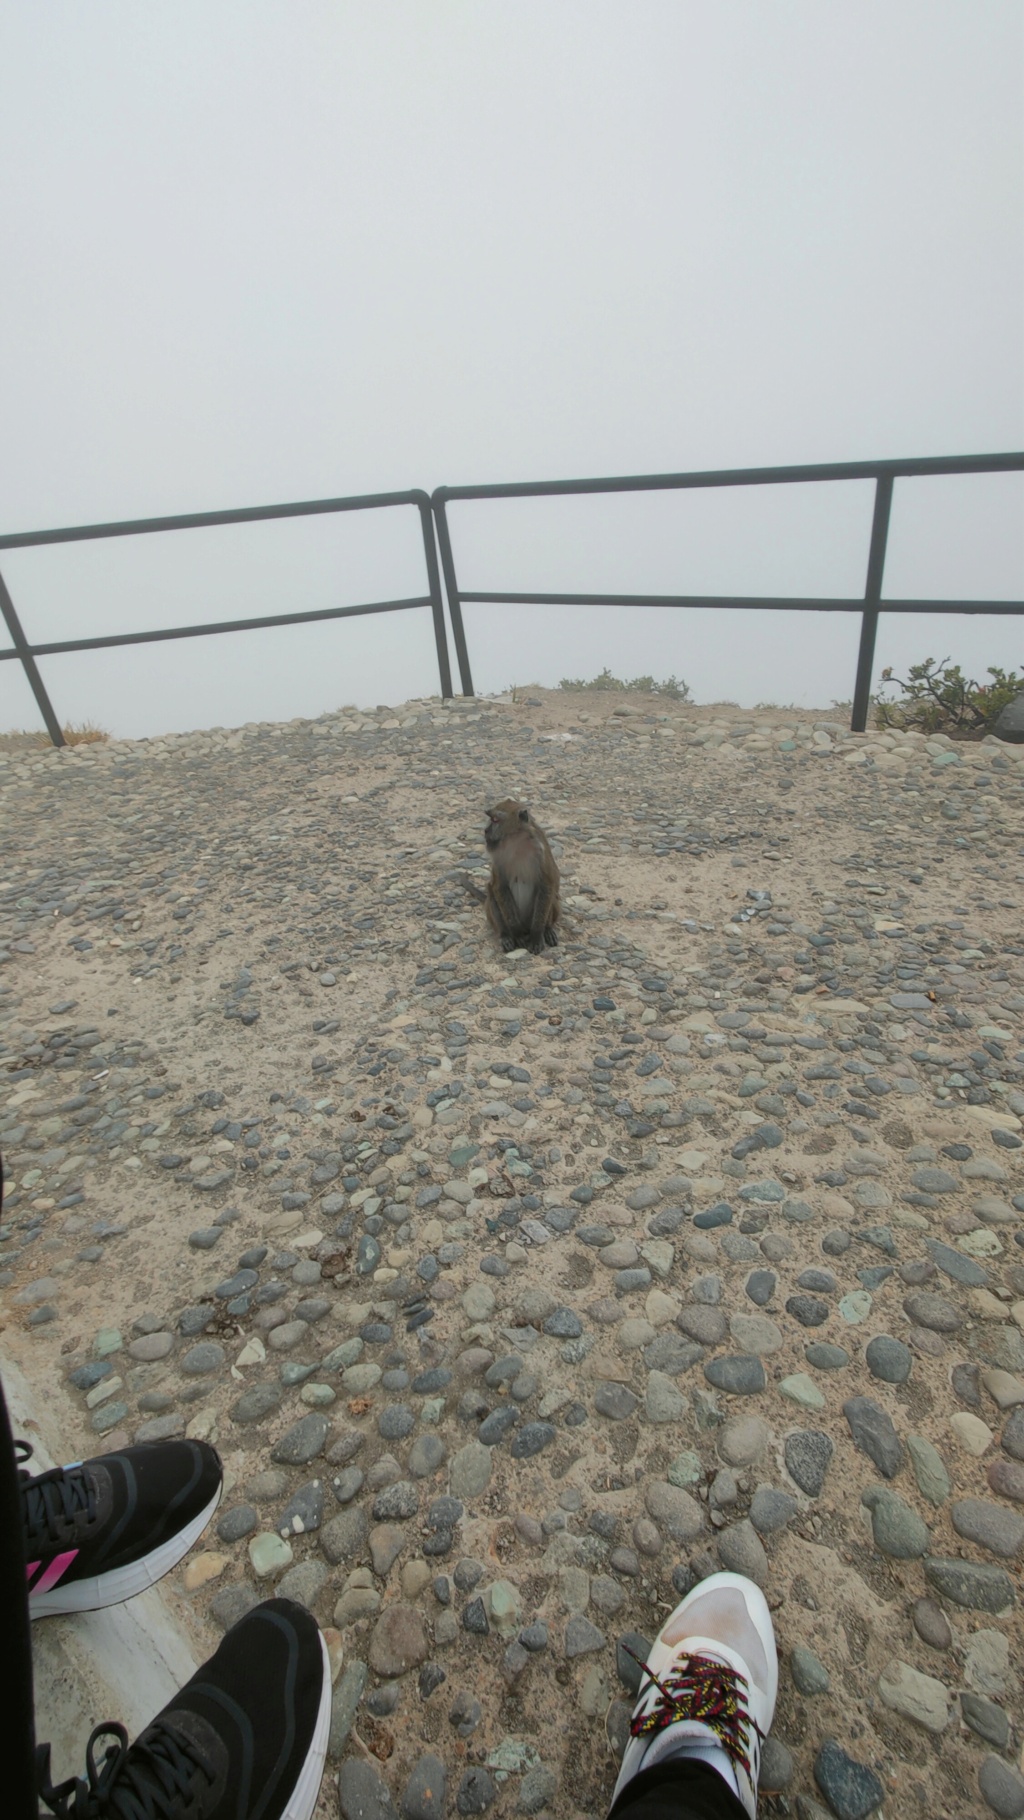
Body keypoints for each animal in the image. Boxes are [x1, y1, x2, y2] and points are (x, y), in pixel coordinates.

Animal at [480, 804, 560, 960]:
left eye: (495, 820)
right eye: (490, 818)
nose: (485, 830)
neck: (517, 843)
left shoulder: (541, 852)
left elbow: (547, 885)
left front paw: (537, 935)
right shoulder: (498, 856)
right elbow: (499, 887)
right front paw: (516, 933)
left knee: (552, 895)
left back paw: (547, 929)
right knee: (492, 895)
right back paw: (506, 935)